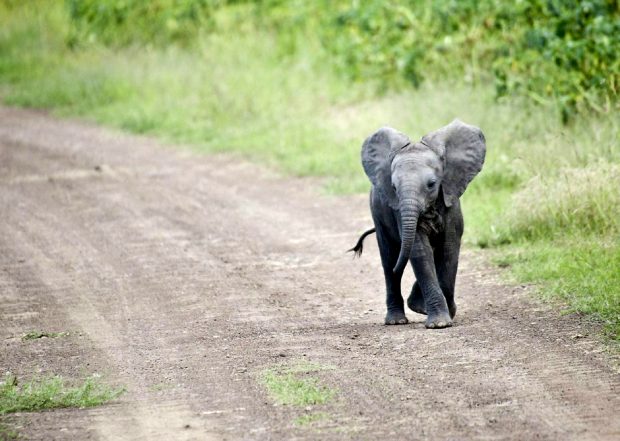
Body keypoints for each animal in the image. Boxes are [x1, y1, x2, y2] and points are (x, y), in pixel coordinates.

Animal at [348, 118, 484, 328]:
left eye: (432, 184)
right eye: (394, 187)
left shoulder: (450, 200)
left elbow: (448, 250)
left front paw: (444, 316)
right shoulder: (398, 211)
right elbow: (420, 251)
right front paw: (439, 323)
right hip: (378, 217)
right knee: (389, 260)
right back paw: (397, 320)